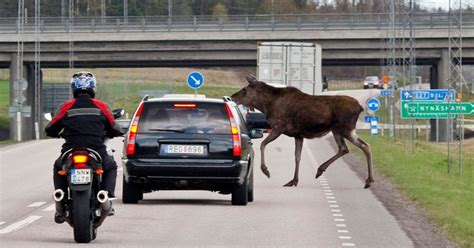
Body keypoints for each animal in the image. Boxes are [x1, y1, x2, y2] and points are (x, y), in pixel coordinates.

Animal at [230, 75, 374, 188]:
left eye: (244, 89)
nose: (232, 97)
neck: (266, 105)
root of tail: (360, 107)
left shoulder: (278, 127)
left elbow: (262, 144)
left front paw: (266, 170)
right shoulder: (298, 135)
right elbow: (297, 157)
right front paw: (294, 180)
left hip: (345, 129)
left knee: (364, 145)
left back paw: (368, 180)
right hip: (338, 130)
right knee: (346, 148)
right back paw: (322, 170)